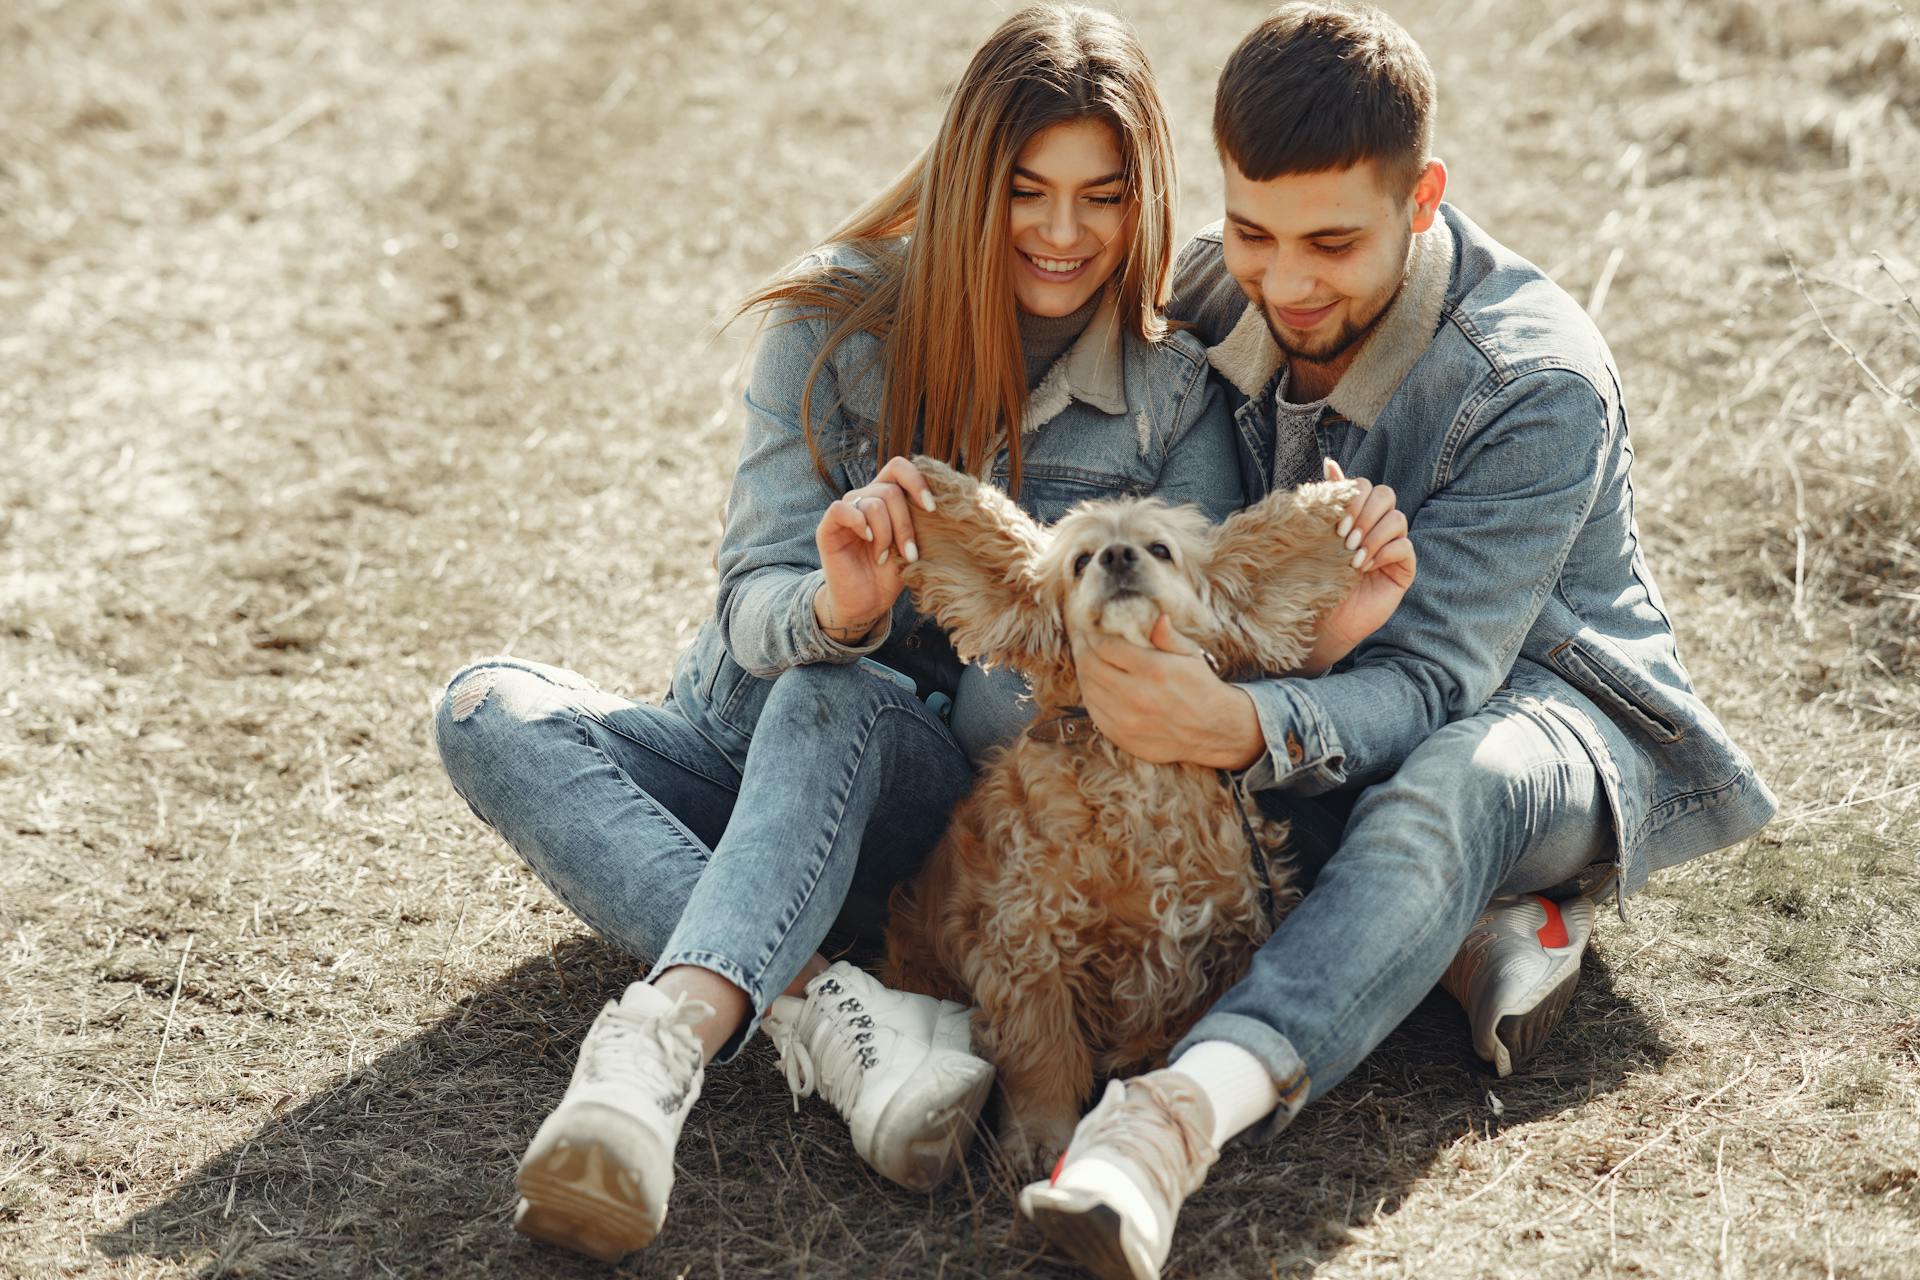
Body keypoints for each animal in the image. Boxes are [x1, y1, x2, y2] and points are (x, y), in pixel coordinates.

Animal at [887, 454, 1367, 1166]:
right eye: (1081, 560)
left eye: (1161, 549)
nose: (1116, 557)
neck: (1133, 769)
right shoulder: (1028, 941)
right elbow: (1044, 1052)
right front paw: (1040, 1139)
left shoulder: (1232, 930)